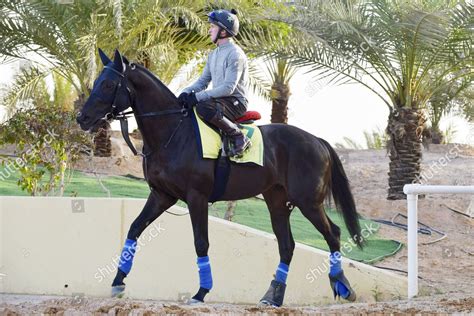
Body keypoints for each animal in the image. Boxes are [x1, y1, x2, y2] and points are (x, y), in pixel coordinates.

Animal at [76, 48, 362, 306]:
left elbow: (201, 242)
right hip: (278, 202)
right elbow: (135, 228)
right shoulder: (162, 195)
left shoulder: (196, 197)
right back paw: (274, 296)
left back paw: (342, 285)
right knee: (287, 246)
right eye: (97, 83)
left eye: (109, 84)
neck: (173, 132)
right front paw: (118, 281)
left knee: (333, 234)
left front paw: (201, 292)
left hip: (308, 202)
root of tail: (317, 140)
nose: (82, 117)